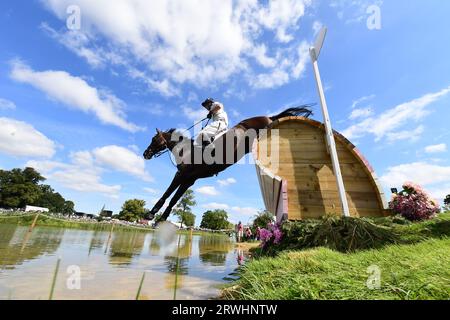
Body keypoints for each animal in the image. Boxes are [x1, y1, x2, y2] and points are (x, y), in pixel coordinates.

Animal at [142, 106, 312, 224]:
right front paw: (161, 219)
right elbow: (174, 199)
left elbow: (167, 194)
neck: (185, 149)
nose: (145, 154)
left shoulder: (181, 175)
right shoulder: (189, 180)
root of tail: (268, 117)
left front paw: (151, 214)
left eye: (154, 139)